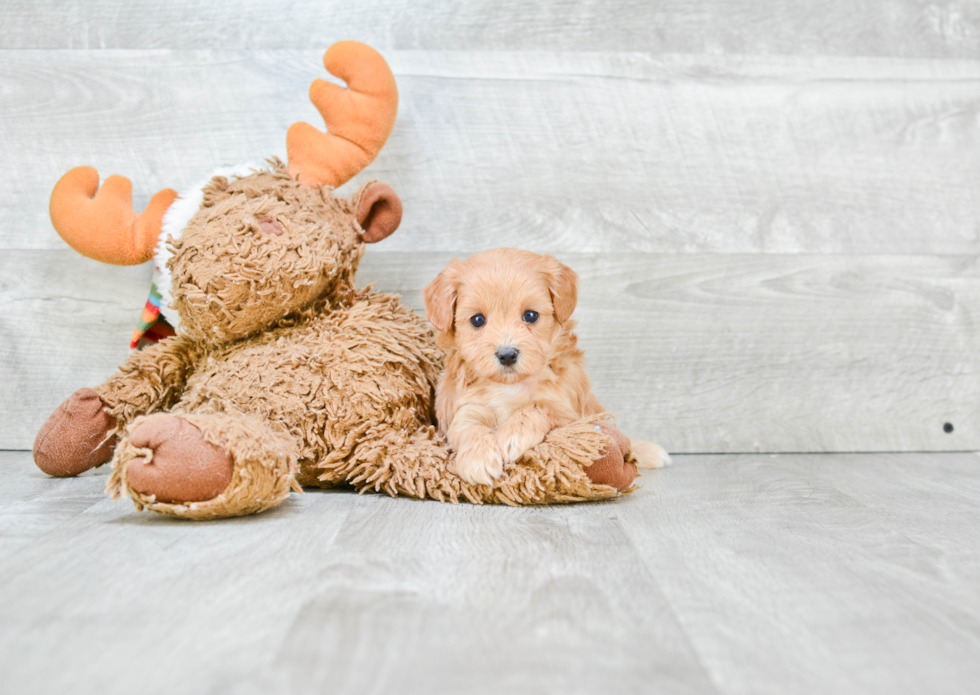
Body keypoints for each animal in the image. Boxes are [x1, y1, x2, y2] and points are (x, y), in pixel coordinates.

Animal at [422, 247, 668, 486]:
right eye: (477, 320)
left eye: (530, 315)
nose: (507, 355)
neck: (512, 386)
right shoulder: (463, 404)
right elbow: (467, 420)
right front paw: (478, 457)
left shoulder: (571, 412)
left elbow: (539, 405)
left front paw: (513, 435)